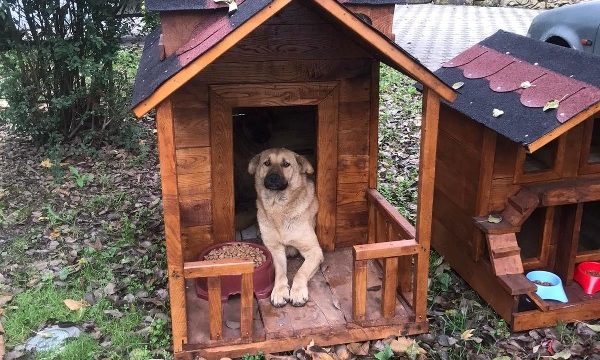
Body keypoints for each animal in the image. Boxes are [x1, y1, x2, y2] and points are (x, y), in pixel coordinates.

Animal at [248, 148, 324, 306]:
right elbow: (280, 273)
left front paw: (297, 291)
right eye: (267, 163)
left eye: (286, 164)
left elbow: (301, 272)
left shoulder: (314, 251)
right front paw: (279, 291)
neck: (278, 207)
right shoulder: (275, 250)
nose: (273, 178)